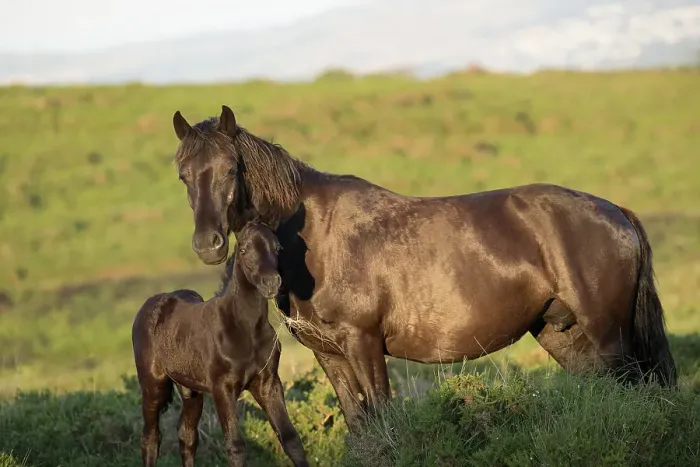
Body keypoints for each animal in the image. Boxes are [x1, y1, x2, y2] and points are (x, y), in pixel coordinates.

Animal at [131, 220, 309, 467]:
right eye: (243, 250)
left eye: (278, 248)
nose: (271, 283)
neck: (246, 329)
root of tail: (151, 304)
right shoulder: (222, 389)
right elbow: (235, 446)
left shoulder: (268, 384)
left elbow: (291, 438)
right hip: (153, 385)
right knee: (150, 437)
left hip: (191, 390)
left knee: (187, 435)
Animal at [169, 105, 677, 431]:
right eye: (183, 175)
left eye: (230, 169)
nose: (208, 244)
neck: (312, 234)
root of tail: (614, 211)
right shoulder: (328, 354)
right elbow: (361, 428)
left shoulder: (364, 344)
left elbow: (383, 421)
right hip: (564, 336)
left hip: (610, 336)